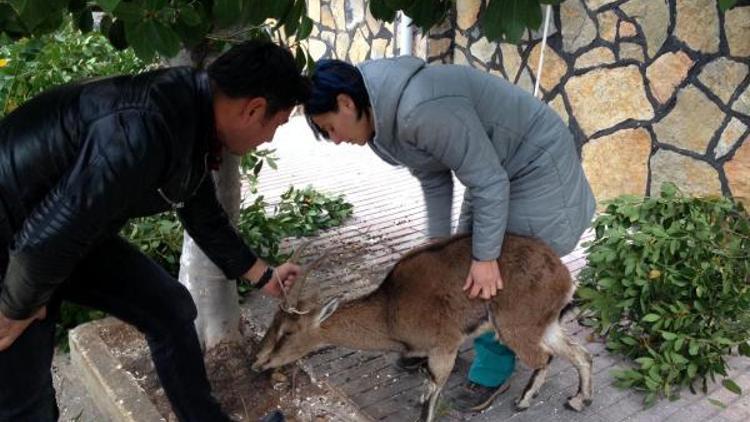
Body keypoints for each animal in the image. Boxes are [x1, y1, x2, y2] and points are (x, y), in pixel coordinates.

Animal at [256, 234, 596, 422]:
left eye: (288, 332)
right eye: (272, 323)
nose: (259, 361)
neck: (389, 311)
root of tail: (564, 276)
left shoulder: (443, 346)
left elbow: (432, 395)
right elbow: (426, 385)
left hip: (516, 326)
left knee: (544, 358)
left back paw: (524, 401)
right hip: (544, 323)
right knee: (579, 353)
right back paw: (578, 401)